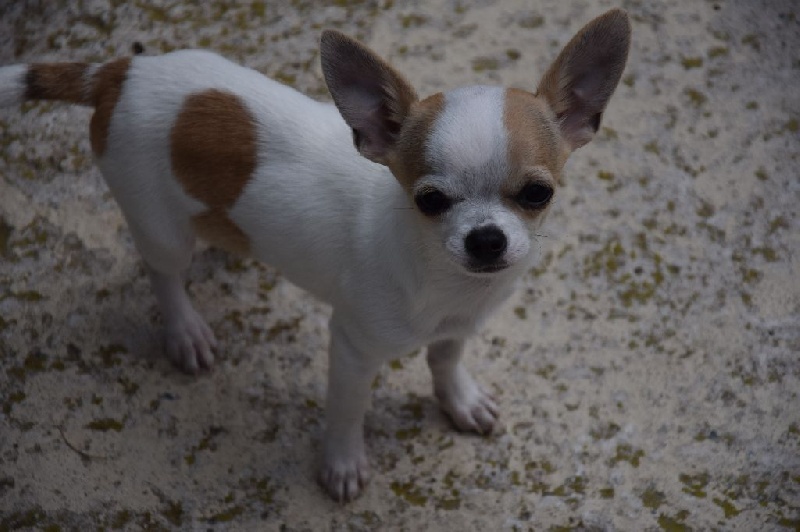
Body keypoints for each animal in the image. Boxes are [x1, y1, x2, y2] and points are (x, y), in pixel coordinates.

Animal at [0, 9, 630, 501]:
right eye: (429, 200)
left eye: (537, 194)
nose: (486, 239)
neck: (443, 280)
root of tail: (118, 72)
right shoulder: (351, 349)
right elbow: (348, 409)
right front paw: (343, 463)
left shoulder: (458, 327)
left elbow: (444, 360)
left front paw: (460, 399)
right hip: (158, 225)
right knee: (164, 273)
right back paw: (185, 330)